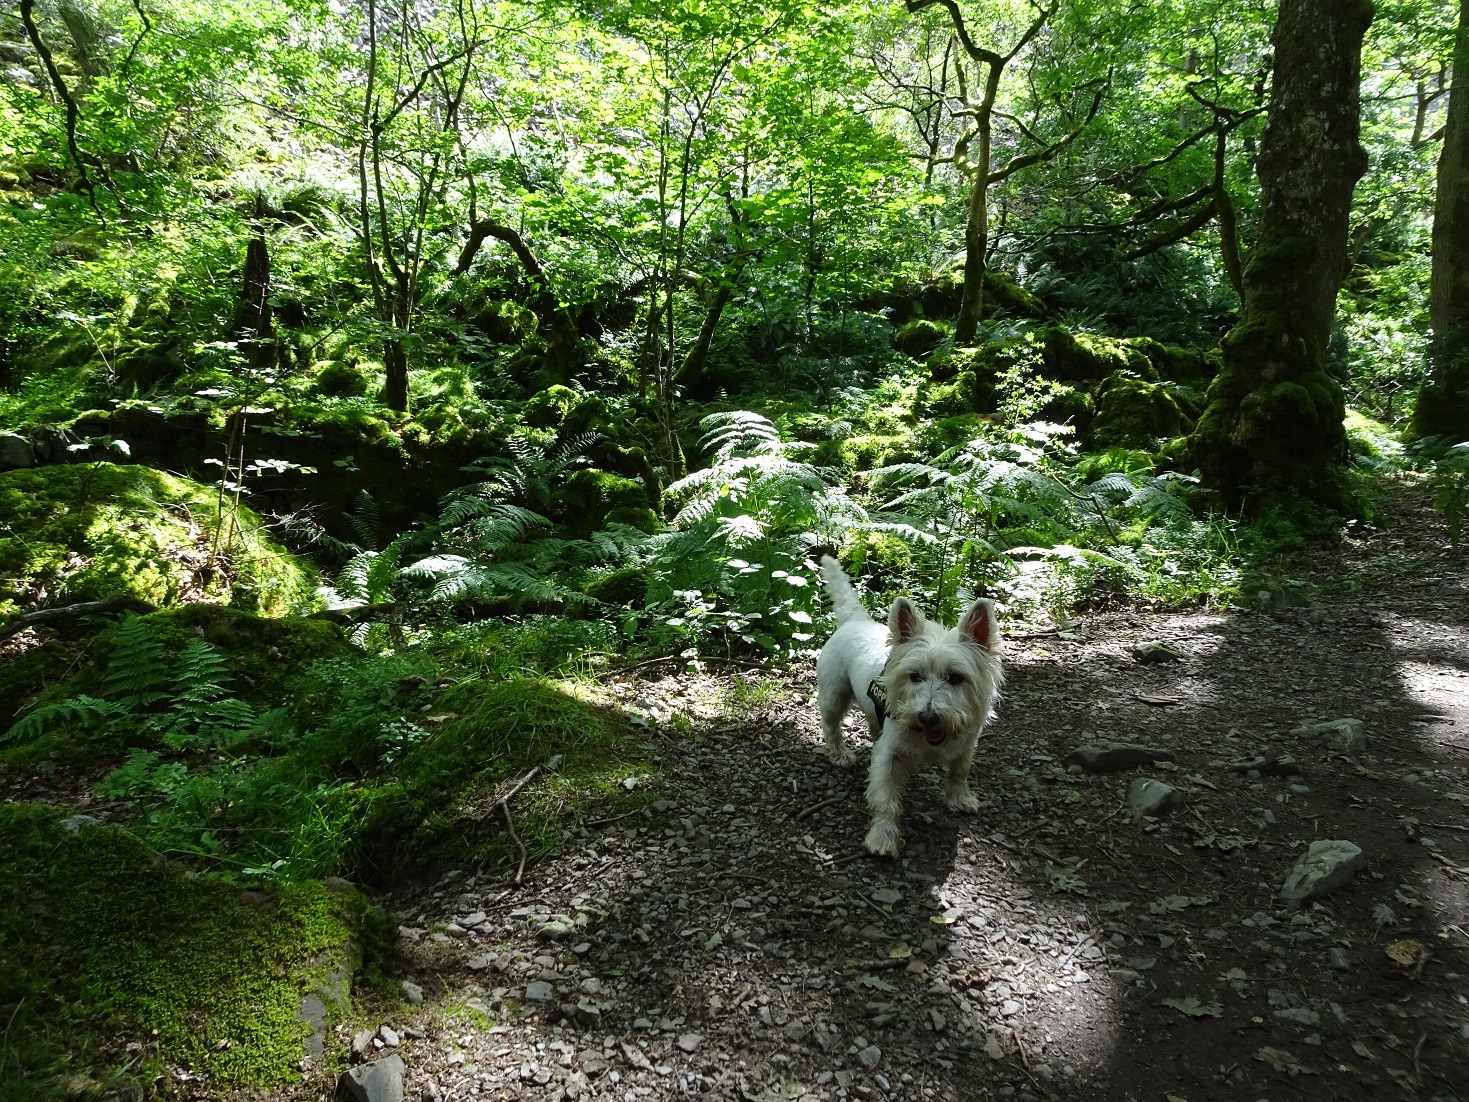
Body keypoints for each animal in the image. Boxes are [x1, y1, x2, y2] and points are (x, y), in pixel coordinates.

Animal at [810, 555, 1004, 858]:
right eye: (915, 676)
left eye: (956, 678)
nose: (927, 716)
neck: (931, 739)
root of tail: (856, 622)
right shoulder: (889, 755)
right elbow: (885, 798)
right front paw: (882, 837)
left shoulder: (966, 743)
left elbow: (959, 771)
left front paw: (960, 797)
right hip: (834, 694)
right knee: (831, 724)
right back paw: (840, 754)